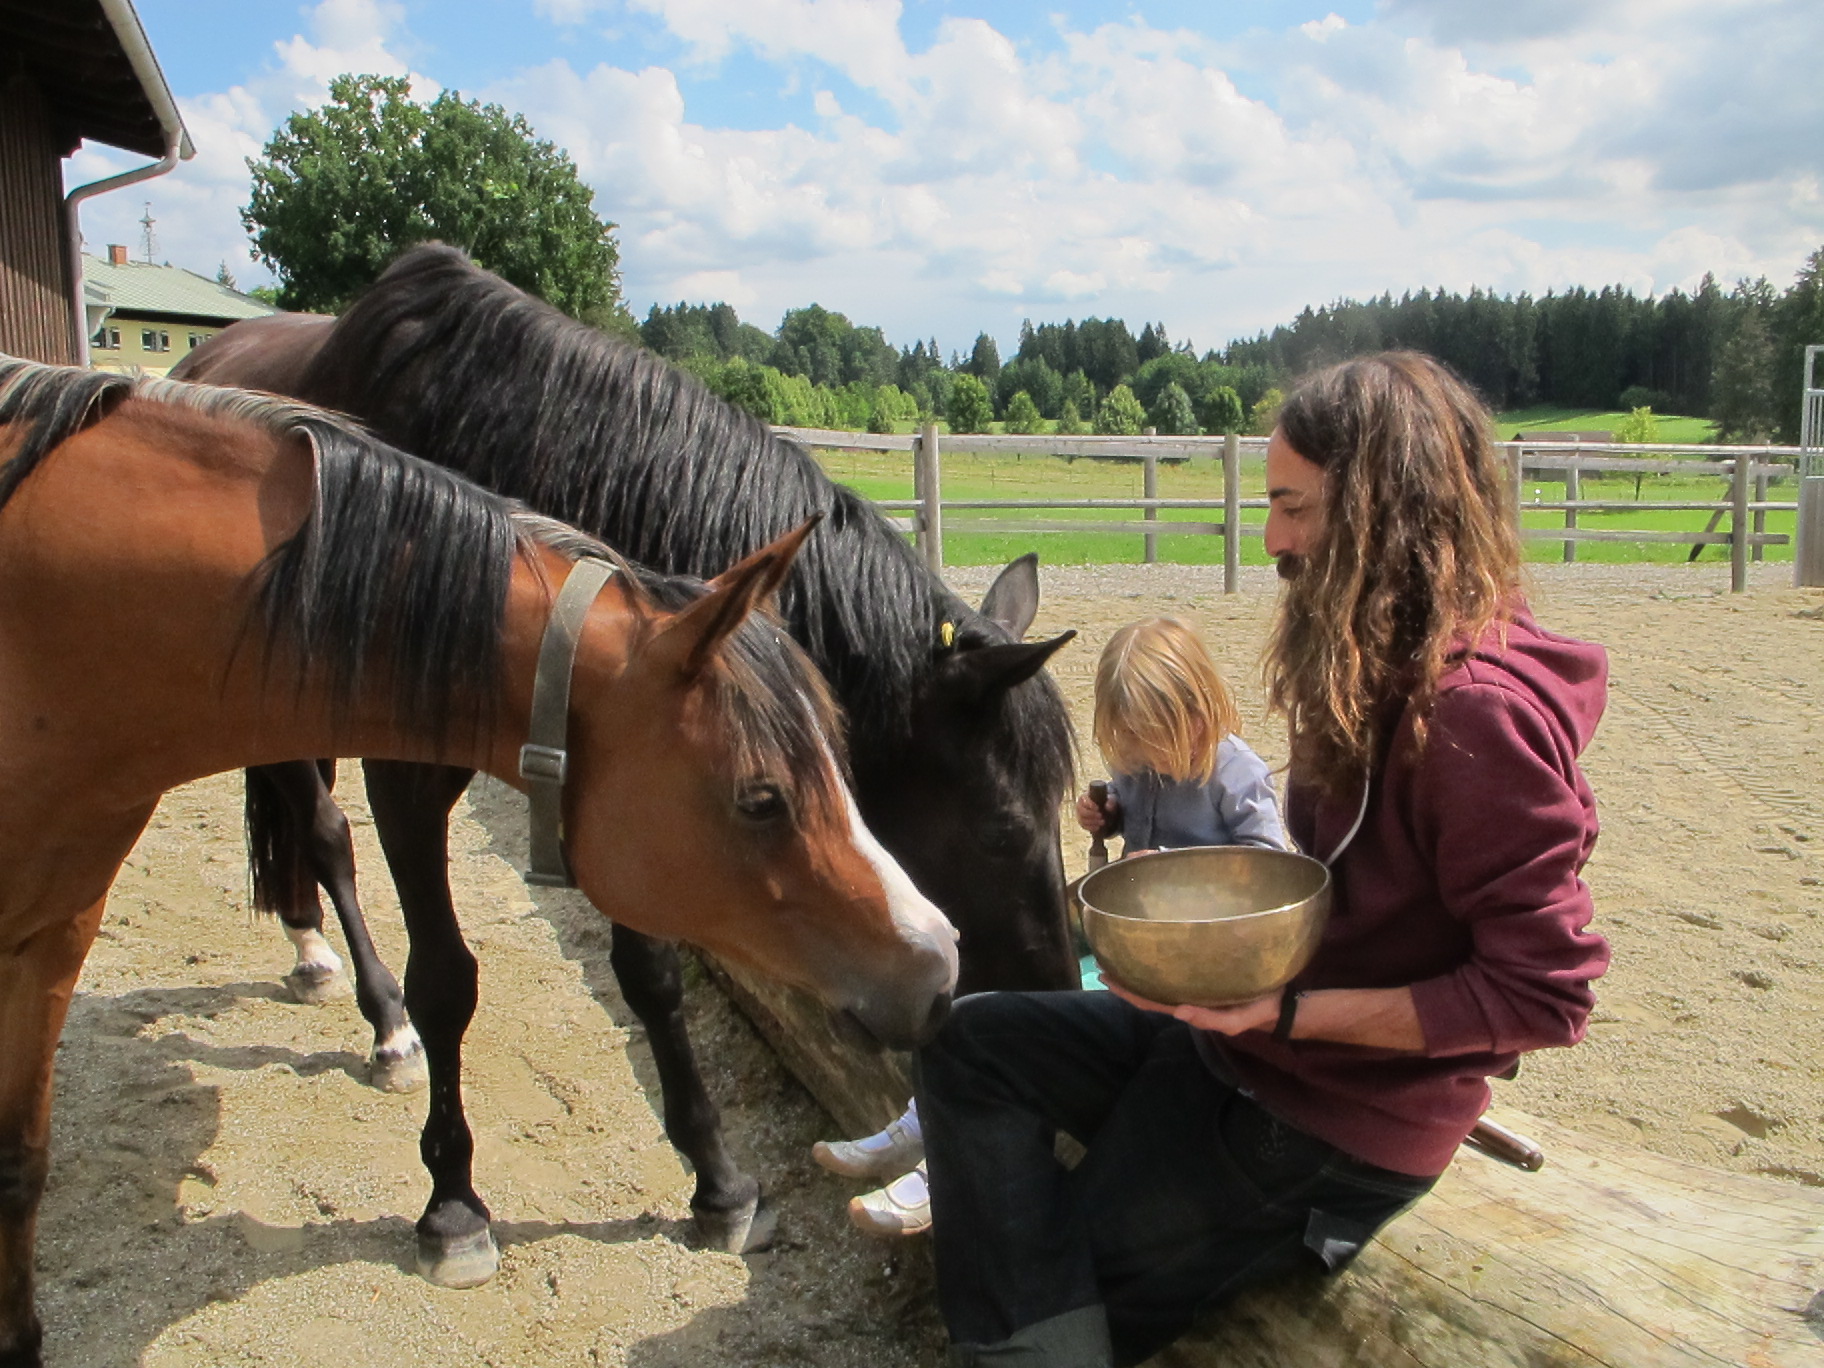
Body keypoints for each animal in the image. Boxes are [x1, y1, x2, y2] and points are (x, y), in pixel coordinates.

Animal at [169, 249, 1072, 1262]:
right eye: (1000, 832)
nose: (1052, 995)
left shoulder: (639, 771)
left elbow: (652, 976)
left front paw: (716, 1184)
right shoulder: (410, 779)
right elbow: (444, 978)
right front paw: (453, 1200)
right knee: (323, 831)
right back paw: (376, 1016)